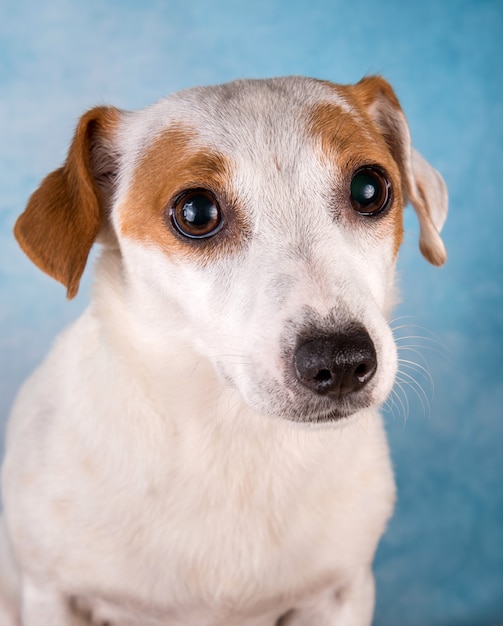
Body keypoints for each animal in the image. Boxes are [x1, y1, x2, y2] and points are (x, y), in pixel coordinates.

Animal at [0, 75, 448, 620]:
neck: (232, 438)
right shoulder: (51, 594)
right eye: (196, 212)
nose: (340, 360)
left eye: (369, 188)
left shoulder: (341, 593)